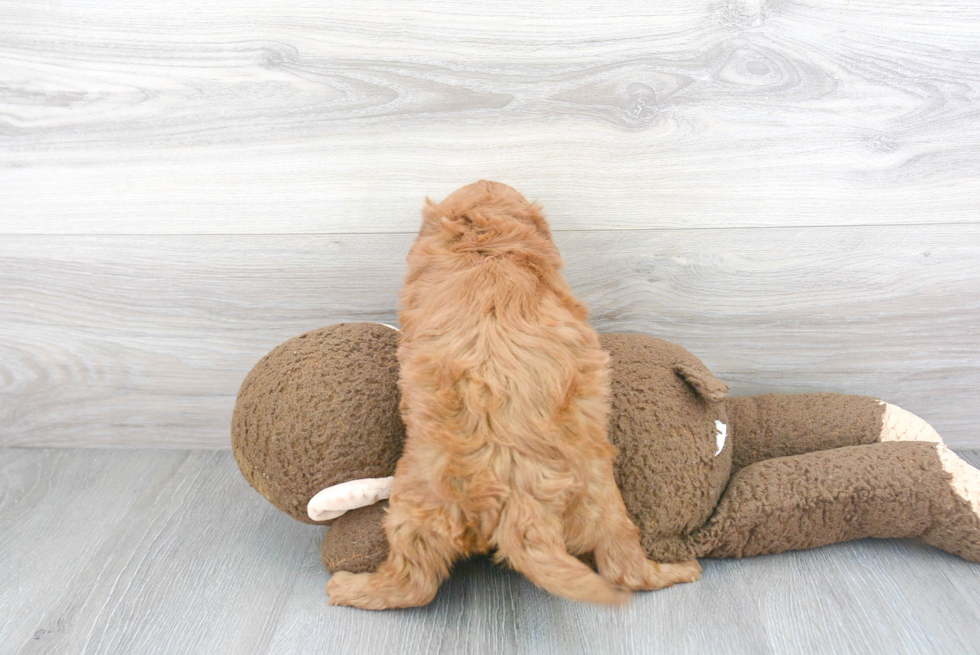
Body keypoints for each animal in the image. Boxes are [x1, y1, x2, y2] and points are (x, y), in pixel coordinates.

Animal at [330, 181, 704, 608]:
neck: (488, 246)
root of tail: (519, 501)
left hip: (413, 503)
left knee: (413, 582)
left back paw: (347, 586)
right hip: (604, 499)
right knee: (624, 565)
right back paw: (680, 570)